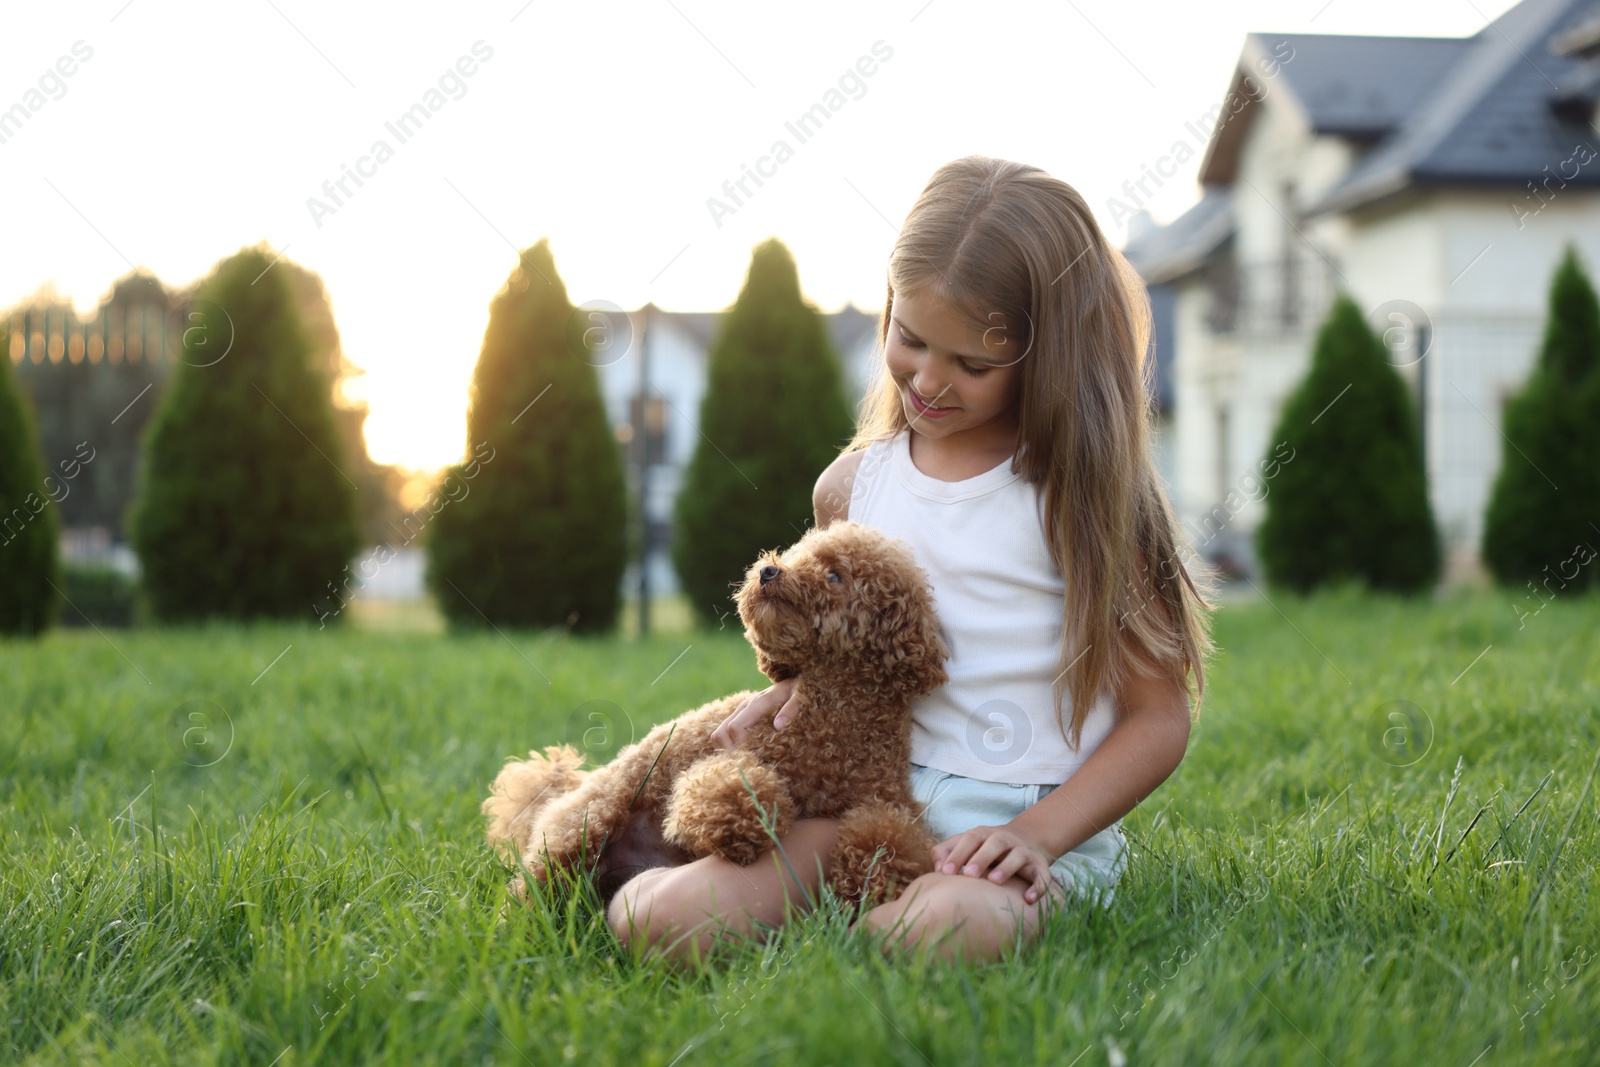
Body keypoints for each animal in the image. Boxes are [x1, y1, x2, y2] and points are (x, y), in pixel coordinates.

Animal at [480, 518, 940, 908]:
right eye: (797, 556)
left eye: (834, 575)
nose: (768, 572)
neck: (831, 717)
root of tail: (565, 791)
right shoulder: (726, 758)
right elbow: (732, 786)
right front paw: (744, 828)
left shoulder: (884, 799)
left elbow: (891, 835)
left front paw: (872, 880)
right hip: (584, 827)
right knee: (533, 888)